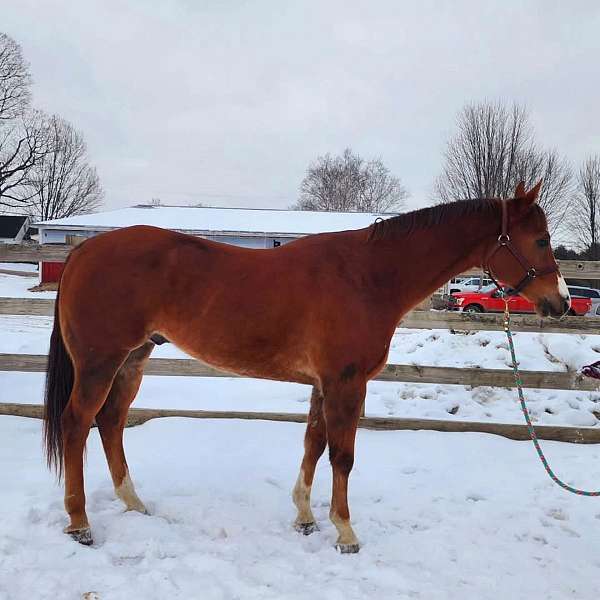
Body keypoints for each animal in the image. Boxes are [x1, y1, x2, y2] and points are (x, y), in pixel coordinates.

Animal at [44, 180, 568, 552]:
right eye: (541, 240)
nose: (561, 303)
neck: (367, 276)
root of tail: (84, 250)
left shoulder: (324, 383)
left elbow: (314, 443)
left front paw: (305, 517)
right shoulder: (346, 383)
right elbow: (342, 455)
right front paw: (345, 532)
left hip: (133, 359)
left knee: (111, 422)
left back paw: (134, 503)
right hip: (100, 362)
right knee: (77, 422)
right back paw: (80, 522)